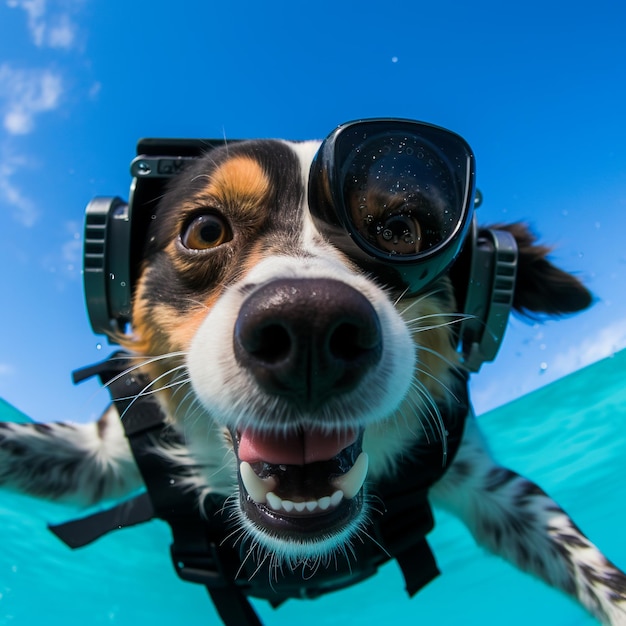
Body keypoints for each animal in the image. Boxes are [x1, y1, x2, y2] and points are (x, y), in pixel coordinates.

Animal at [1, 124, 624, 620]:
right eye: (205, 230)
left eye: (399, 229)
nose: (309, 331)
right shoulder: (104, 456)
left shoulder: (483, 479)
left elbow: (589, 564)